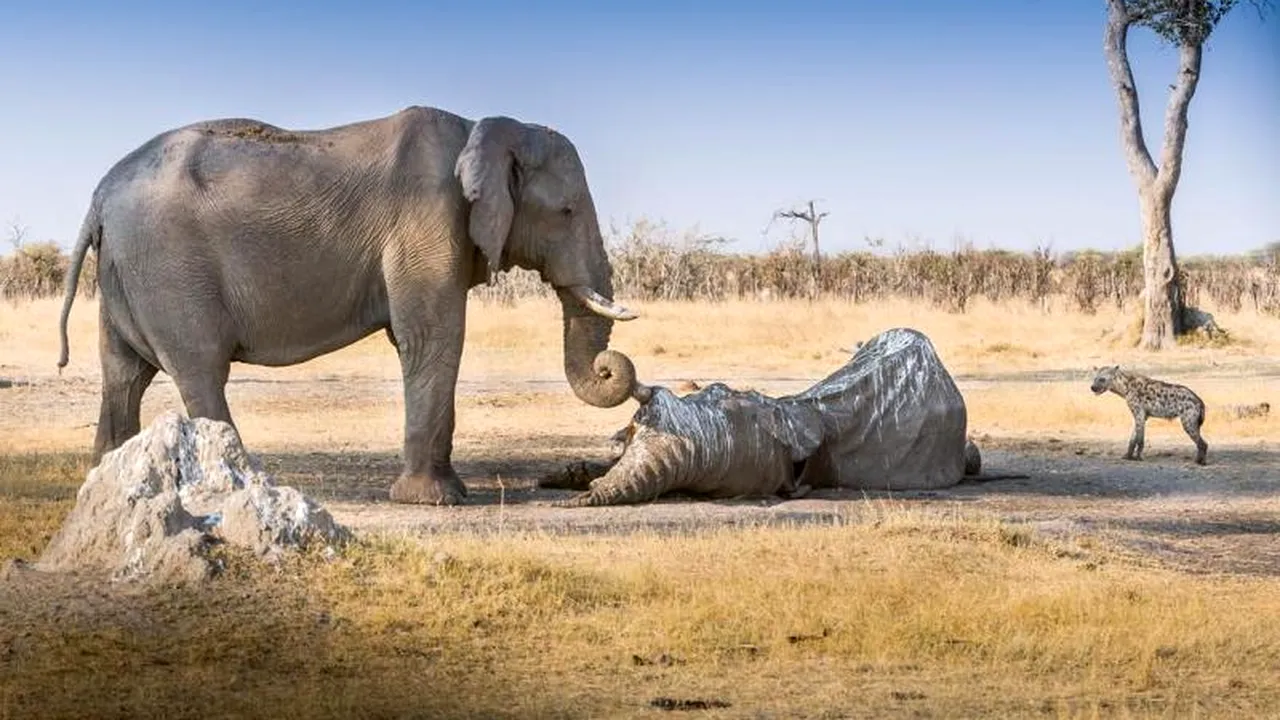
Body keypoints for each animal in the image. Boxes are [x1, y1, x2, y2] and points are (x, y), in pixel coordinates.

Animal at [56, 105, 641, 506]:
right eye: (567, 211)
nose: (611, 370)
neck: (482, 127)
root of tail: (99, 194)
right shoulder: (428, 222)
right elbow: (432, 337)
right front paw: (437, 501)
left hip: (126, 272)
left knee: (123, 374)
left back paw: (107, 485)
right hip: (169, 268)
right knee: (199, 371)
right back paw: (239, 486)